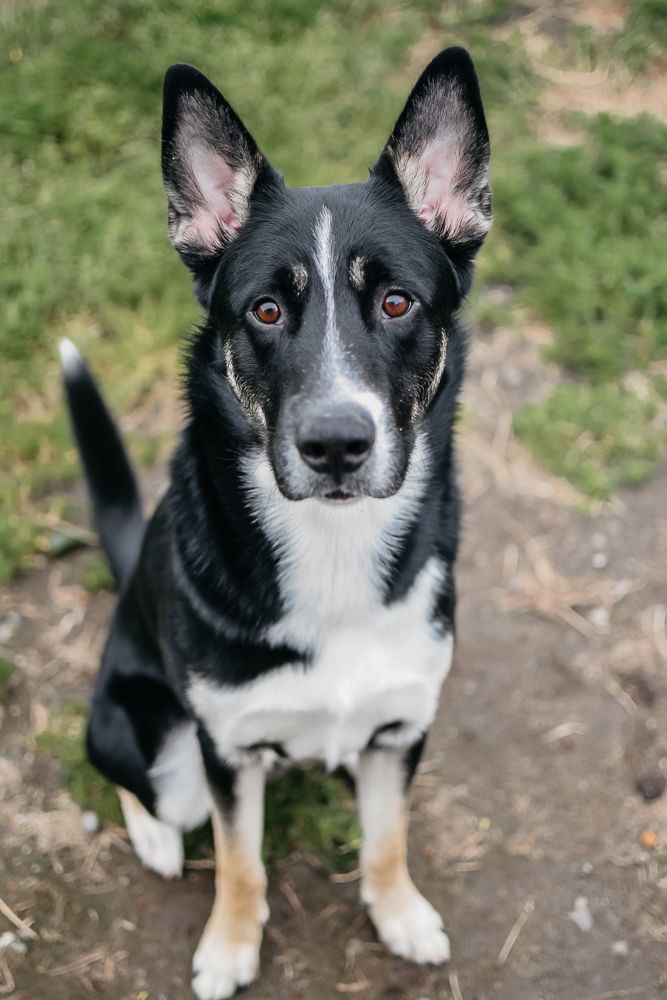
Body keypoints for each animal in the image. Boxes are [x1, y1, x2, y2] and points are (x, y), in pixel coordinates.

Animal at [58, 47, 490, 1000]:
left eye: (397, 303)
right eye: (264, 310)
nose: (334, 444)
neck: (331, 550)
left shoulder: (400, 730)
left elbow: (387, 838)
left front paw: (398, 912)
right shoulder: (226, 752)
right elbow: (240, 861)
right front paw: (229, 947)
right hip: (158, 743)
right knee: (143, 789)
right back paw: (155, 835)